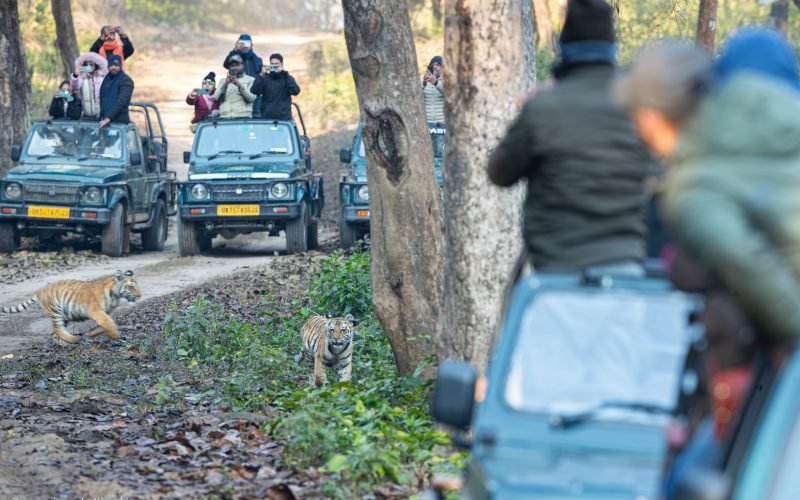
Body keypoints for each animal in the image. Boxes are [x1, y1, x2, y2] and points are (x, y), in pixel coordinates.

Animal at [1, 270, 141, 345]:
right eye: (131, 286)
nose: (140, 295)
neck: (115, 294)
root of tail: (42, 289)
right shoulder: (97, 312)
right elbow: (110, 323)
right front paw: (116, 336)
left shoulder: (104, 313)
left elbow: (104, 326)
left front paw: (90, 334)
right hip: (55, 311)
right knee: (57, 329)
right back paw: (74, 339)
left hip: (64, 315)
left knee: (56, 333)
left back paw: (66, 344)